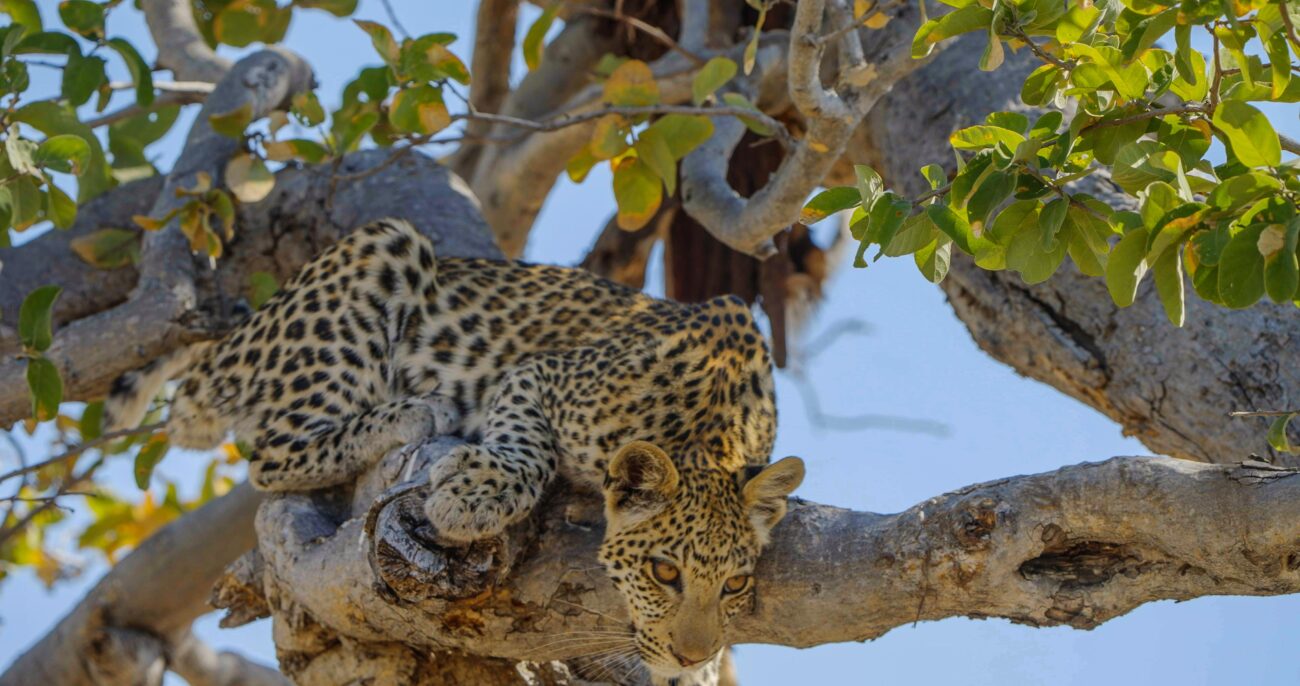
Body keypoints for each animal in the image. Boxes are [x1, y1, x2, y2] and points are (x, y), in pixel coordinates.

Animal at [104, 218, 800, 680]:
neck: (711, 430)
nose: (690, 654)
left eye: (736, 584)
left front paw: (701, 671)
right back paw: (417, 412)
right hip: (382, 250)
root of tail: (242, 334)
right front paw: (474, 496)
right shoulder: (541, 374)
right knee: (268, 454)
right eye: (664, 572)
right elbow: (527, 445)